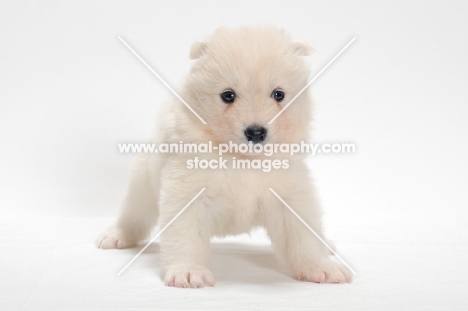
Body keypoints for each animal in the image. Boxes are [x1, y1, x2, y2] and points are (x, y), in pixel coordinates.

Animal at [98, 26, 352, 288]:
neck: (241, 158)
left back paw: (326, 245)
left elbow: (303, 235)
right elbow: (185, 236)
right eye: (228, 95)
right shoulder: (187, 193)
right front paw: (188, 271)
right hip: (143, 183)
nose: (256, 132)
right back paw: (116, 236)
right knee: (134, 213)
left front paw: (322, 267)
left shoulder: (290, 195)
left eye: (278, 94)